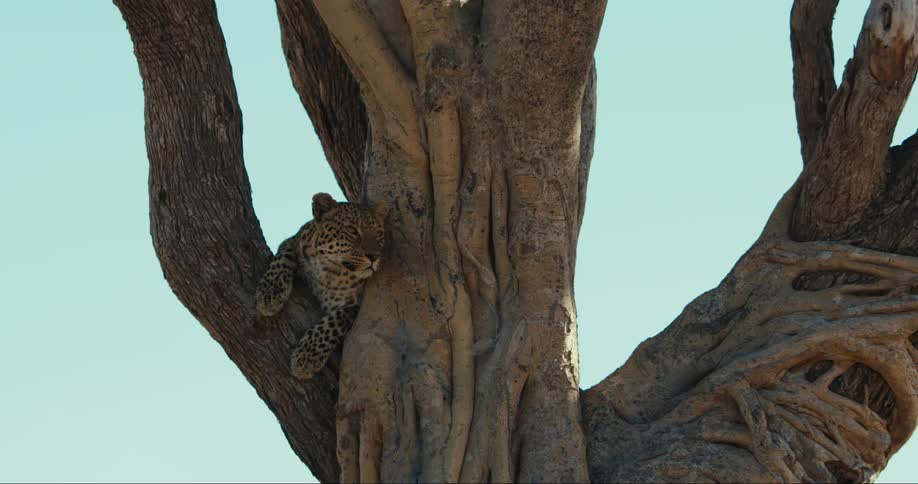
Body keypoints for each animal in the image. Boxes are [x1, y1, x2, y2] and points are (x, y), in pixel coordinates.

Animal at [256, 192, 387, 380]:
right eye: (353, 230)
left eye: (379, 234)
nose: (374, 256)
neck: (332, 272)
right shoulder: (295, 240)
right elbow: (282, 258)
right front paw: (269, 294)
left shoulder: (357, 306)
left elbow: (333, 322)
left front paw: (306, 357)